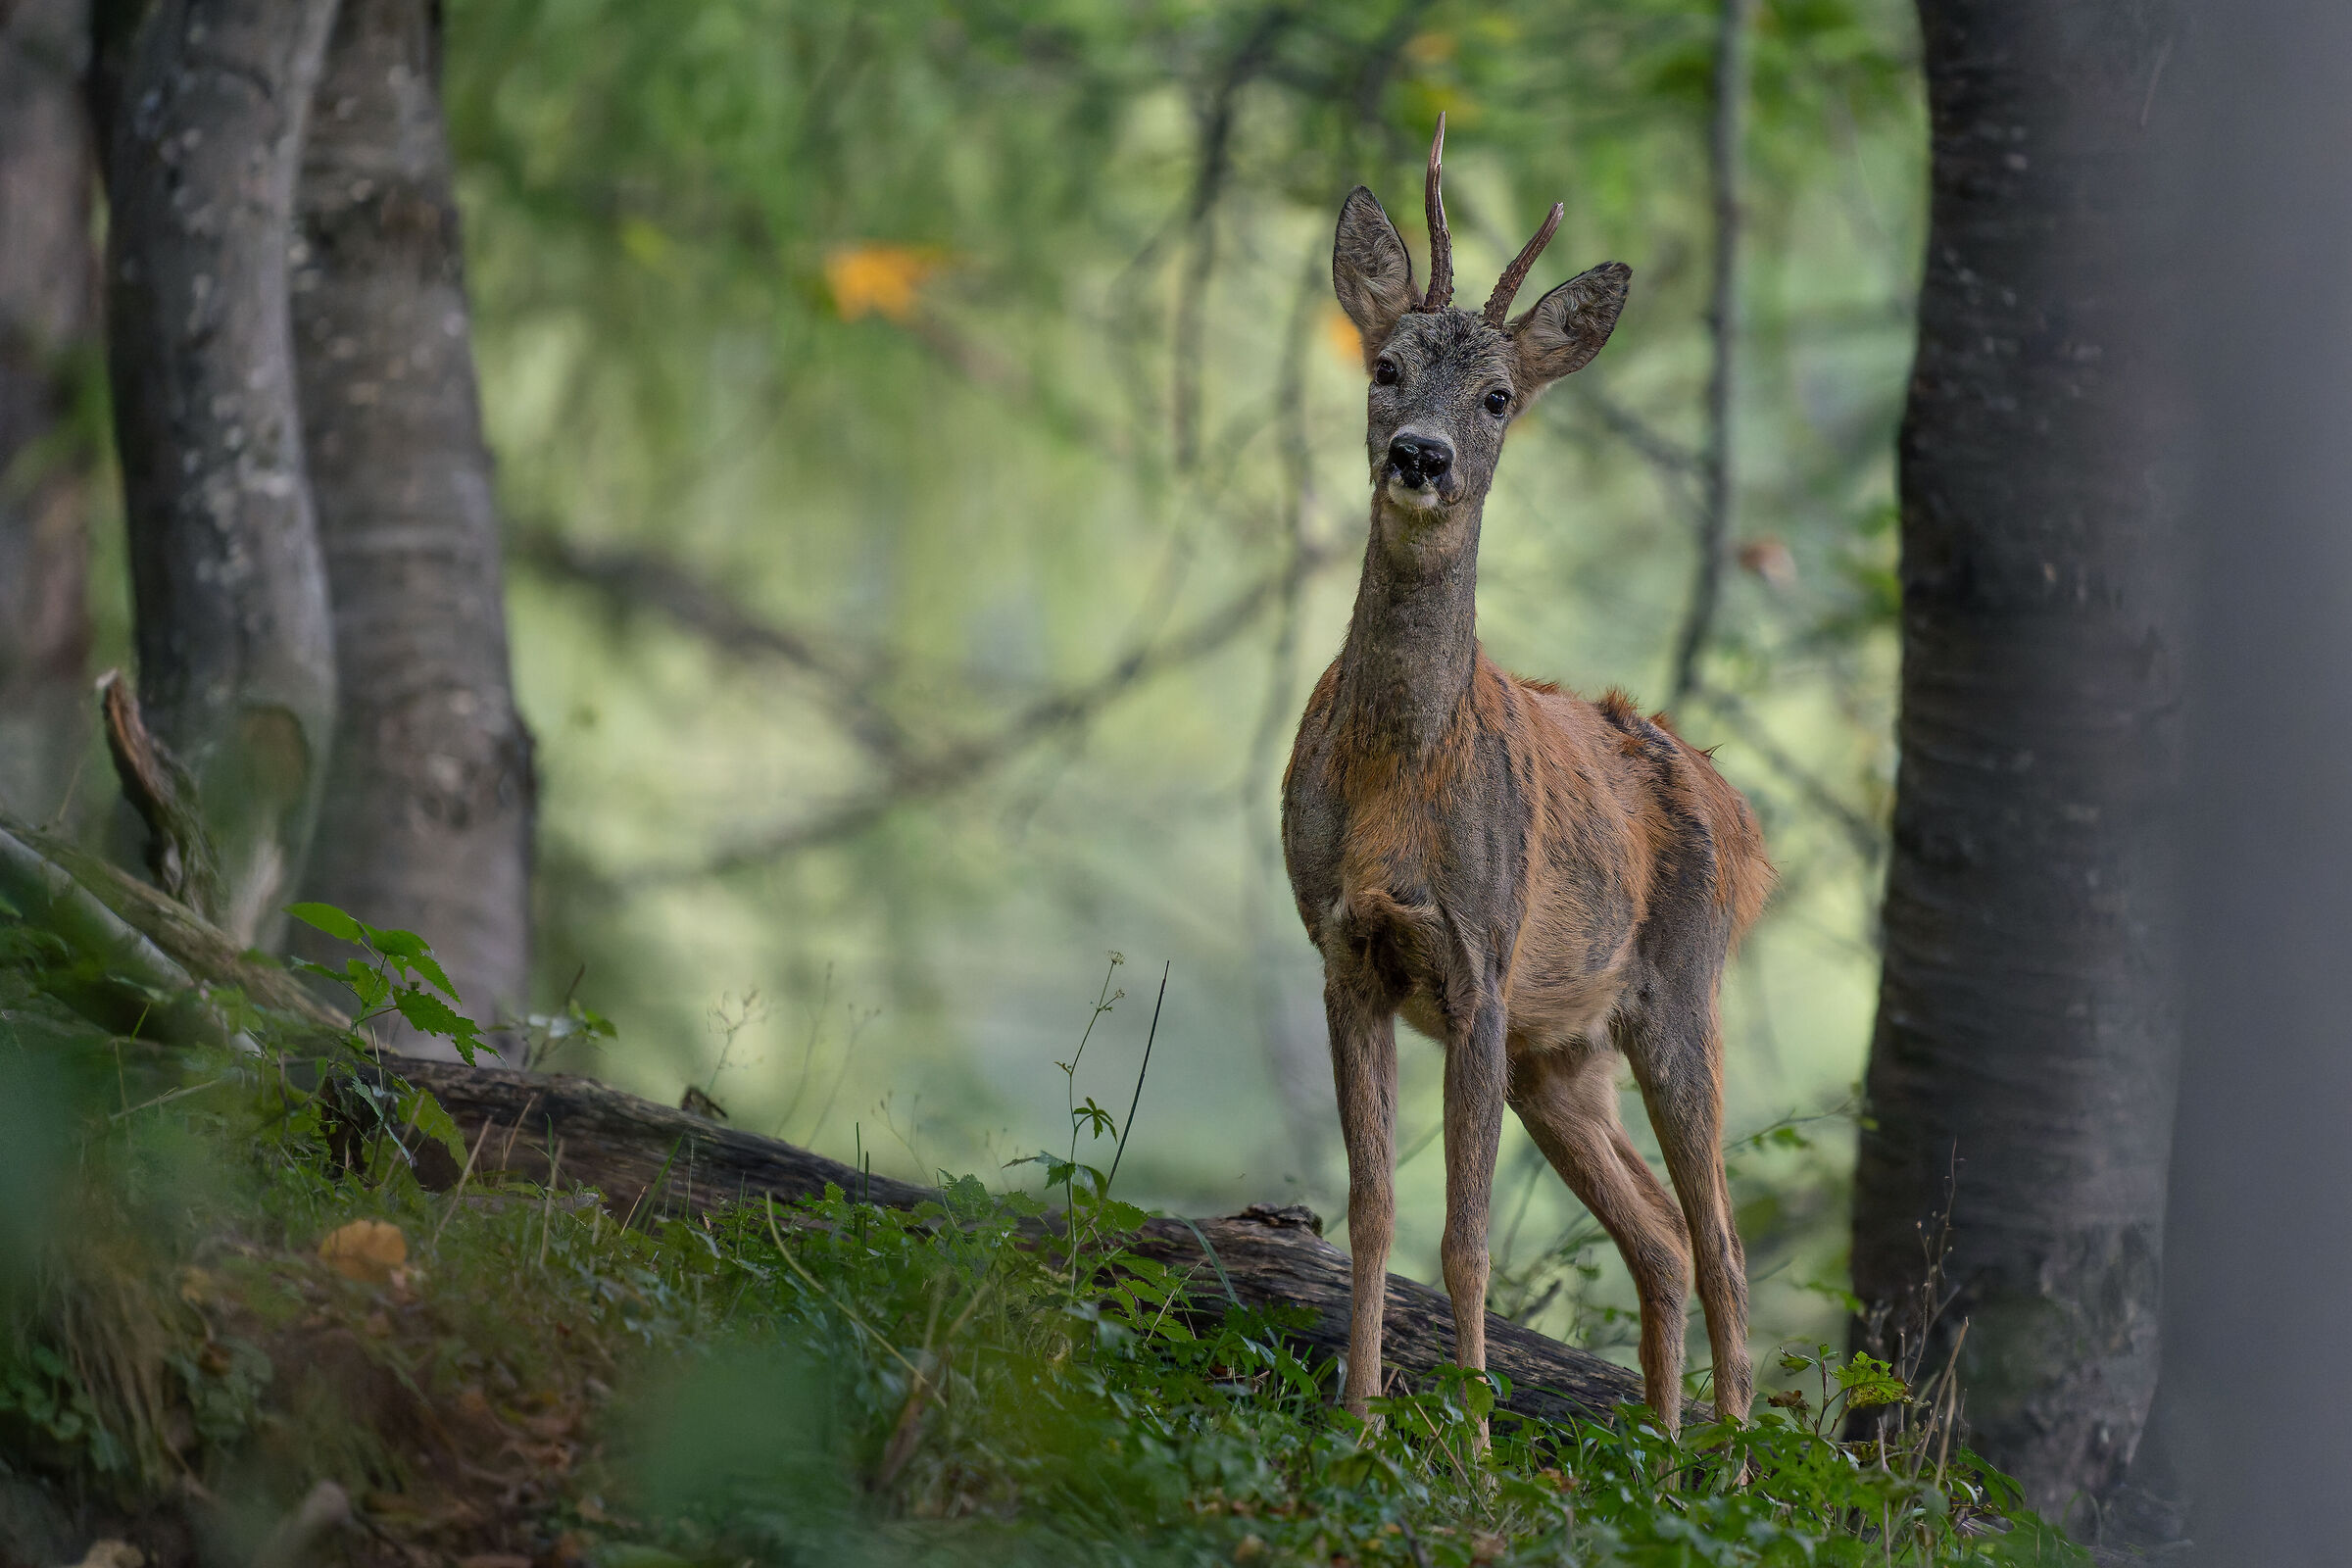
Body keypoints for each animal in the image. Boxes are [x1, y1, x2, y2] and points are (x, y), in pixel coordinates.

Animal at [1281, 118, 1773, 1438]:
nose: (1421, 454)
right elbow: (1372, 1213)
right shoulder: (1346, 952)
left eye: (1500, 396)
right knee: (1659, 1238)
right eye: (1385, 364)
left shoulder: (1481, 960)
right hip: (1566, 1055)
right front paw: (1357, 1421)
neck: (1398, 777)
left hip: (1679, 992)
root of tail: (1738, 812)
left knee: (1723, 1245)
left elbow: (1466, 1240)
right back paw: (1660, 1448)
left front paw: (1470, 1444)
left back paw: (1731, 1459)